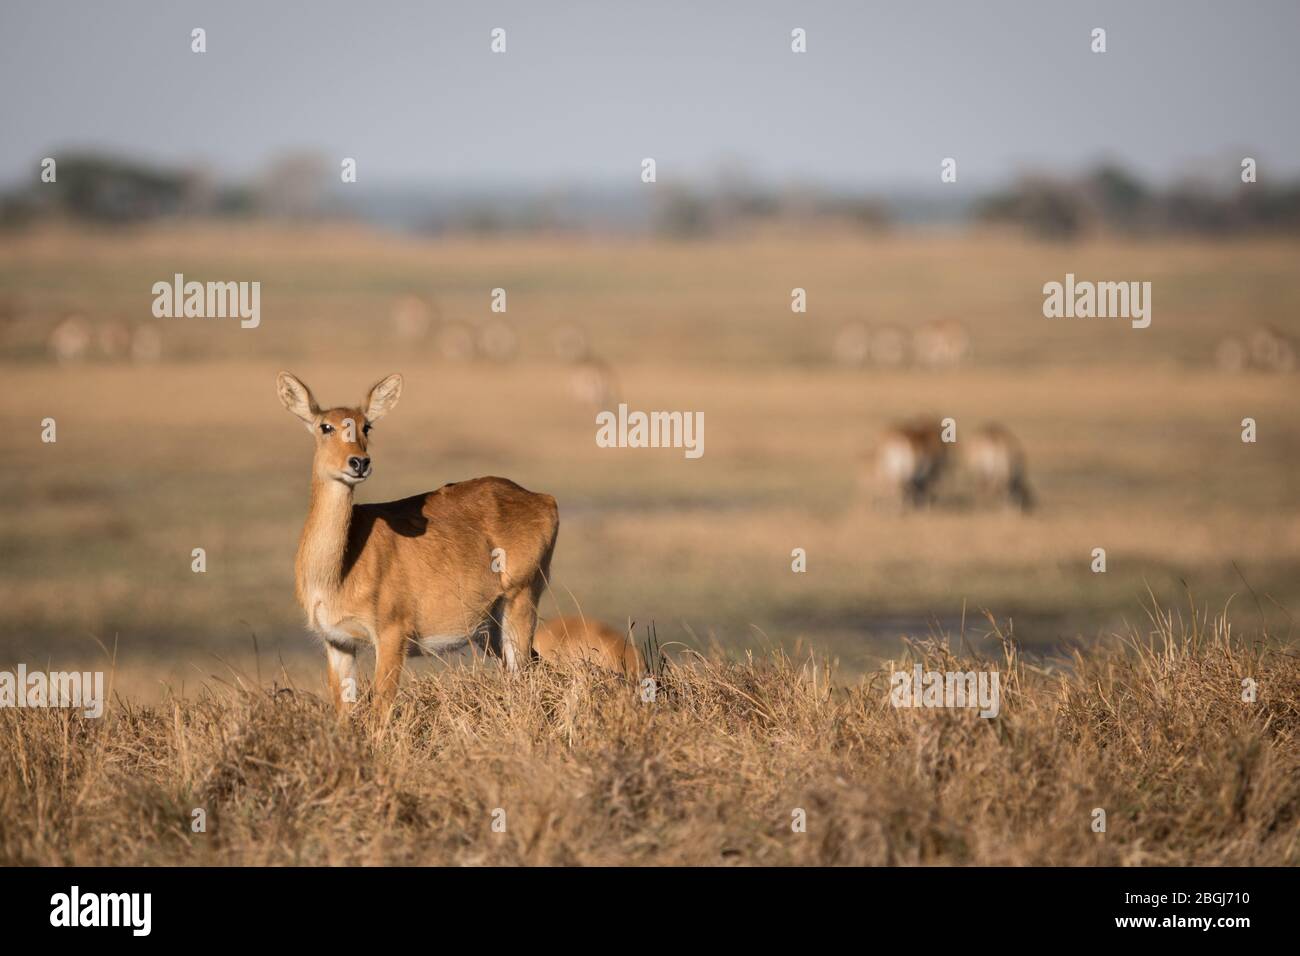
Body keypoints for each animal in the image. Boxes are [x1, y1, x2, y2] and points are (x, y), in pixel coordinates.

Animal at [274, 371, 559, 717]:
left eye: (366, 425)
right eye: (325, 426)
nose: (359, 462)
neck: (337, 572)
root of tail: (544, 499)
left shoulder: (391, 635)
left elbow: (381, 708)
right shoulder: (338, 642)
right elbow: (344, 713)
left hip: (520, 605)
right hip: (489, 629)